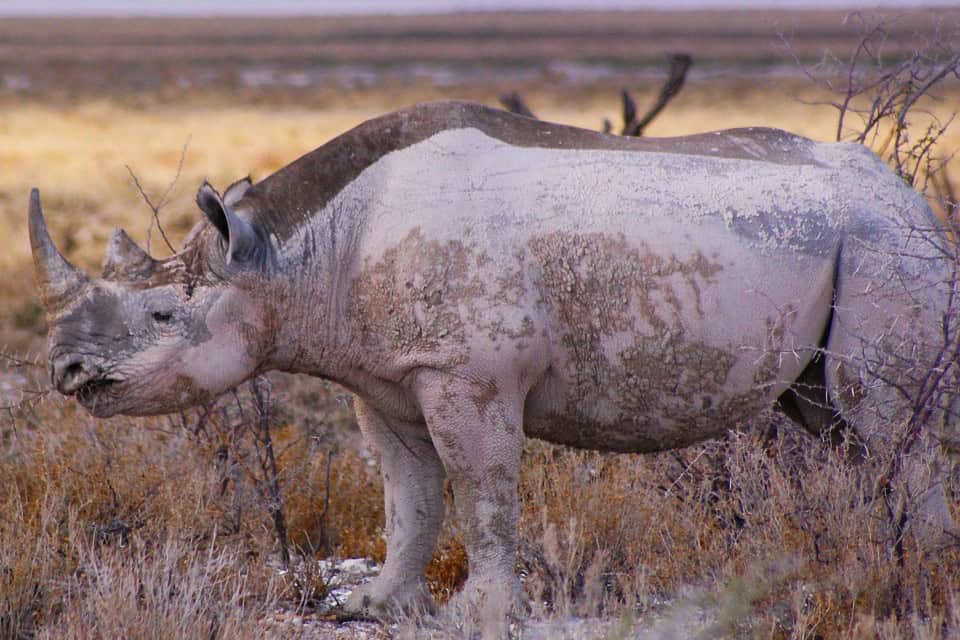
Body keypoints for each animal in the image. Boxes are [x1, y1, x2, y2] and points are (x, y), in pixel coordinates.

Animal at [29, 101, 958, 620]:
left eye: (161, 315)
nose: (66, 375)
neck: (285, 256)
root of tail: (913, 198)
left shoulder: (465, 373)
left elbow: (481, 489)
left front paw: (477, 612)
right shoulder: (384, 376)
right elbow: (409, 496)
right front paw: (378, 605)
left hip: (884, 246)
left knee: (881, 418)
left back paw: (914, 578)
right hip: (855, 243)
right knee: (837, 423)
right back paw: (865, 565)